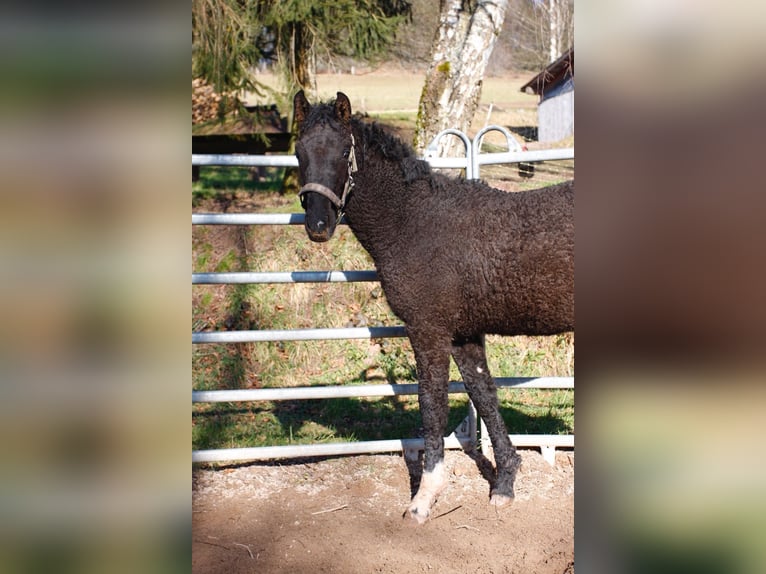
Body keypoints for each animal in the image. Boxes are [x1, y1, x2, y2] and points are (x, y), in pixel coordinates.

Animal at [294, 91, 576, 528]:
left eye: (343, 151)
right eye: (298, 152)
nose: (318, 226)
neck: (413, 220)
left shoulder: (428, 330)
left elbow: (432, 404)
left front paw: (423, 498)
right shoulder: (462, 335)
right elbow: (483, 395)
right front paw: (505, 484)